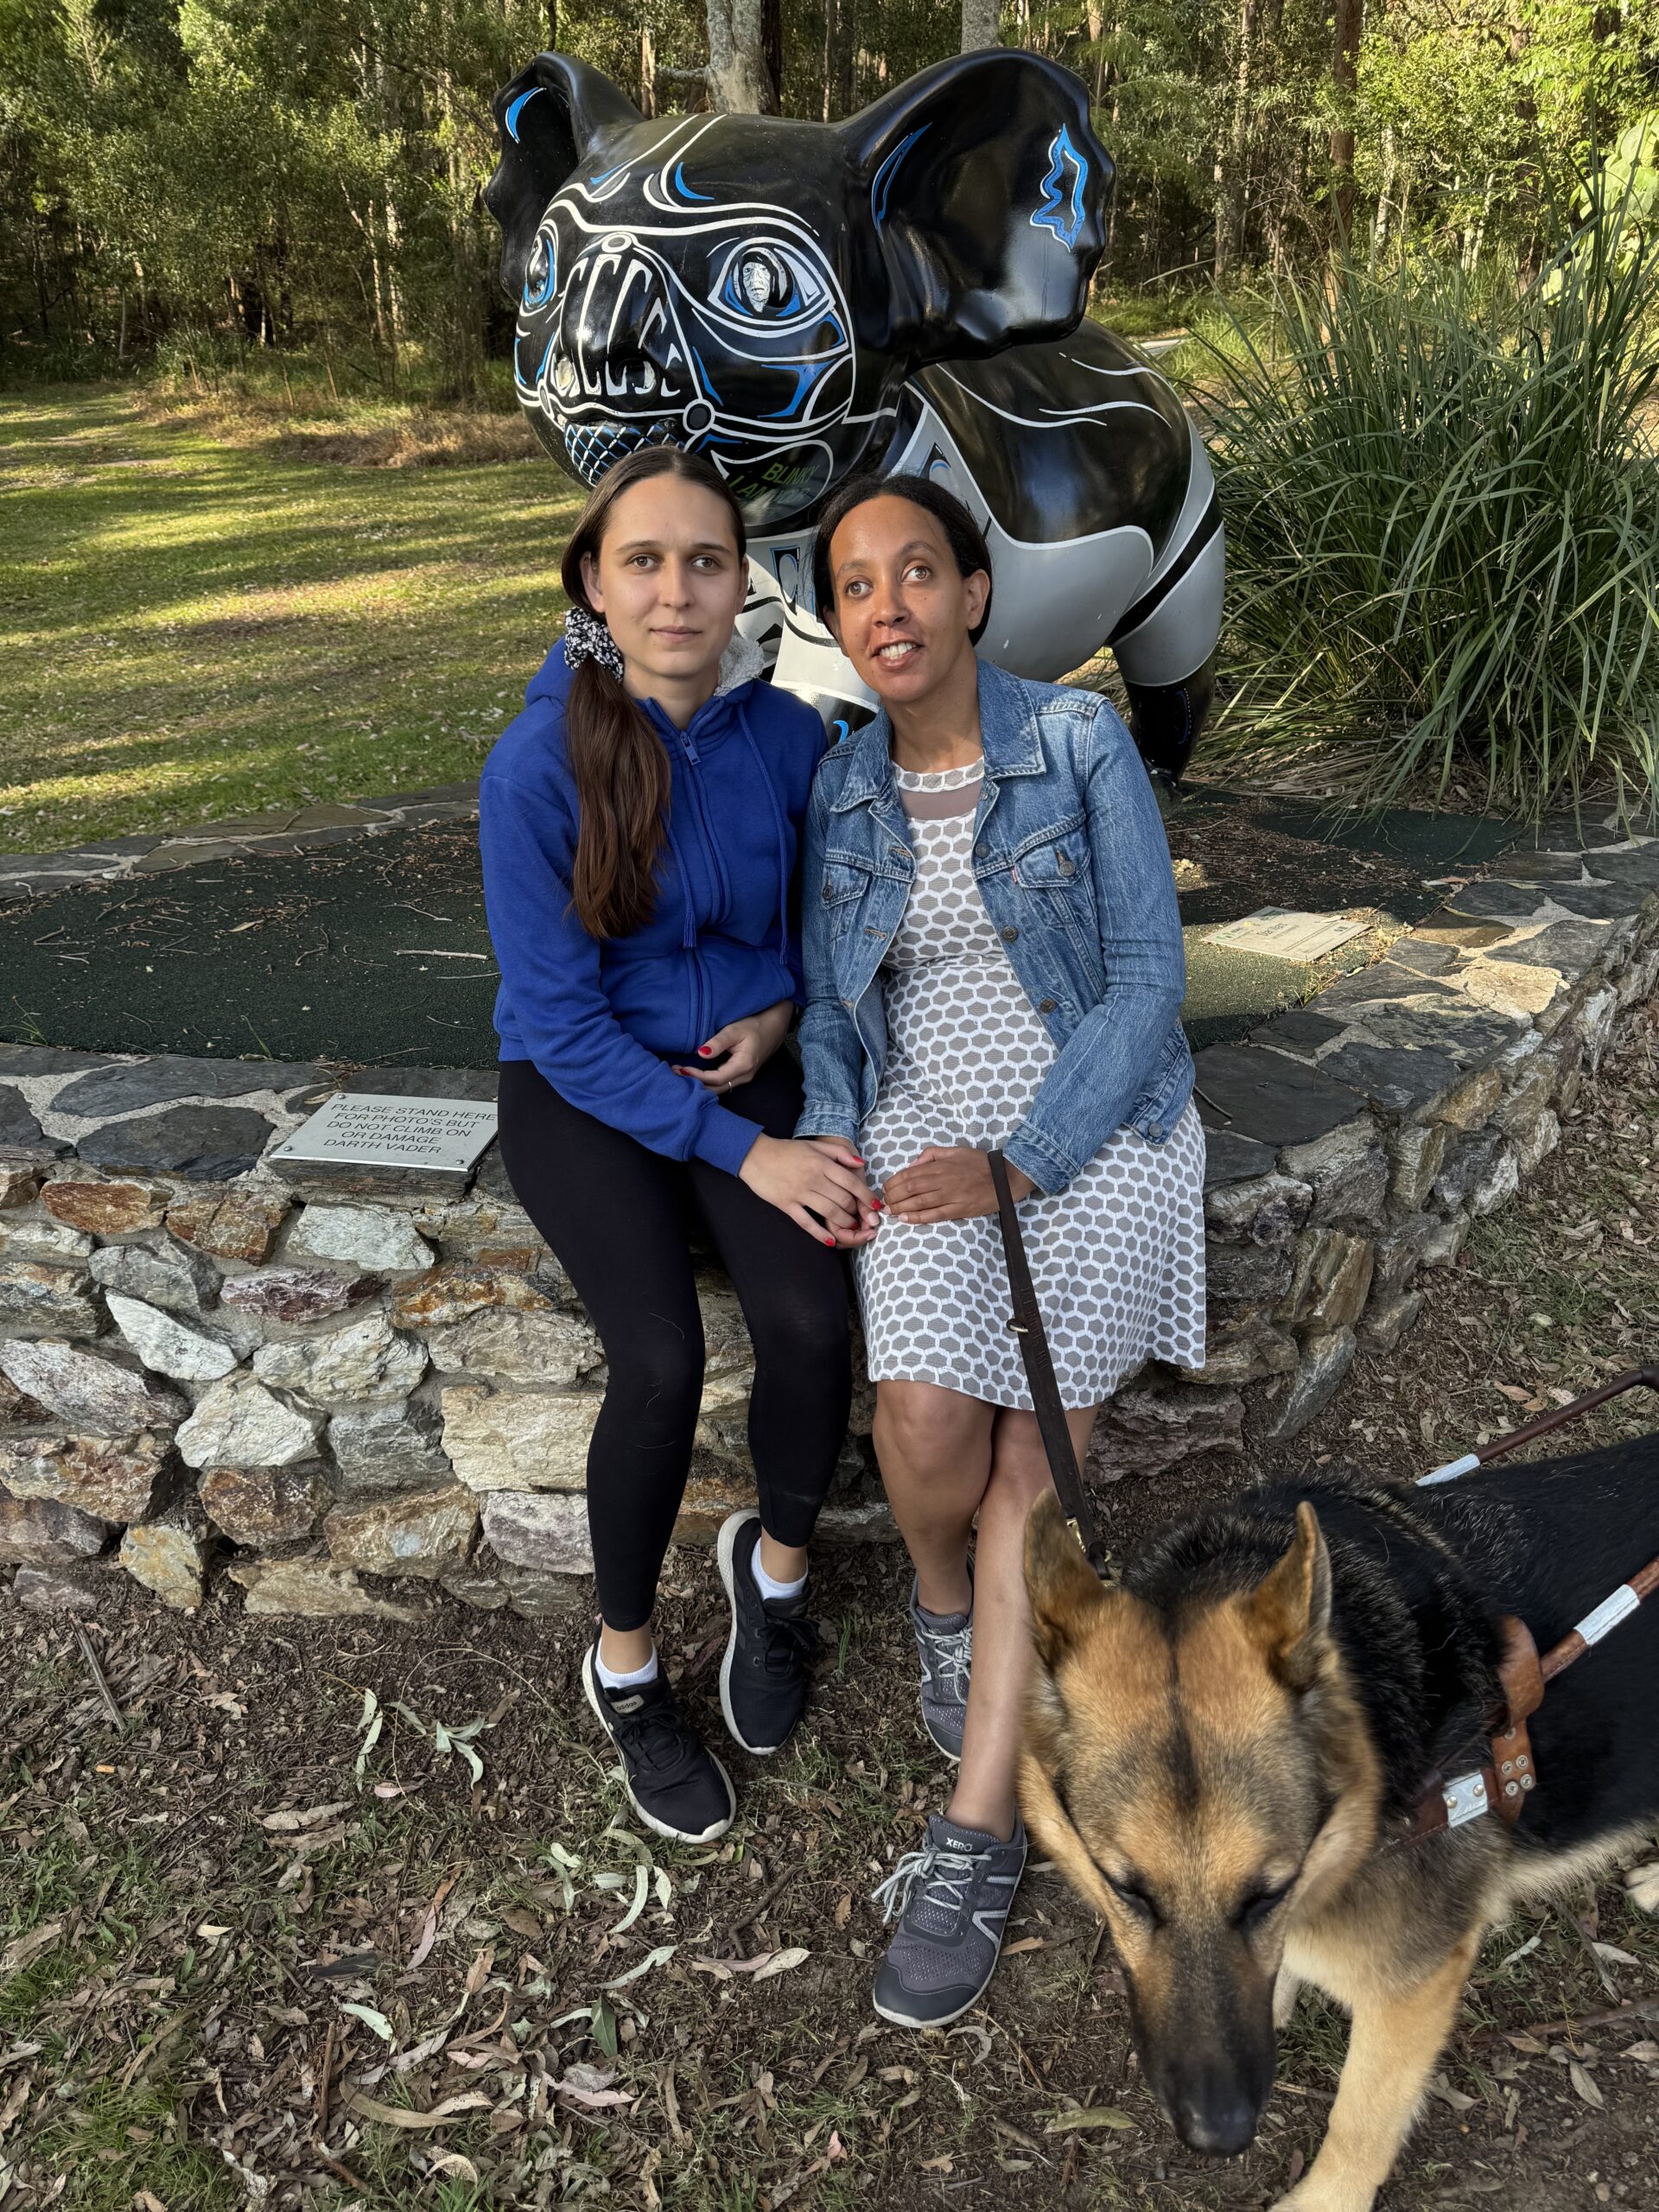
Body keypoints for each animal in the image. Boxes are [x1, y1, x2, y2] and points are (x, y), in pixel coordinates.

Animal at [1021, 1442, 1659, 2202]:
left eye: (1268, 1891)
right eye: (1127, 1890)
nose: (1219, 2135)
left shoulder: (1410, 1991)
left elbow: (1361, 2119)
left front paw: (1324, 2199)